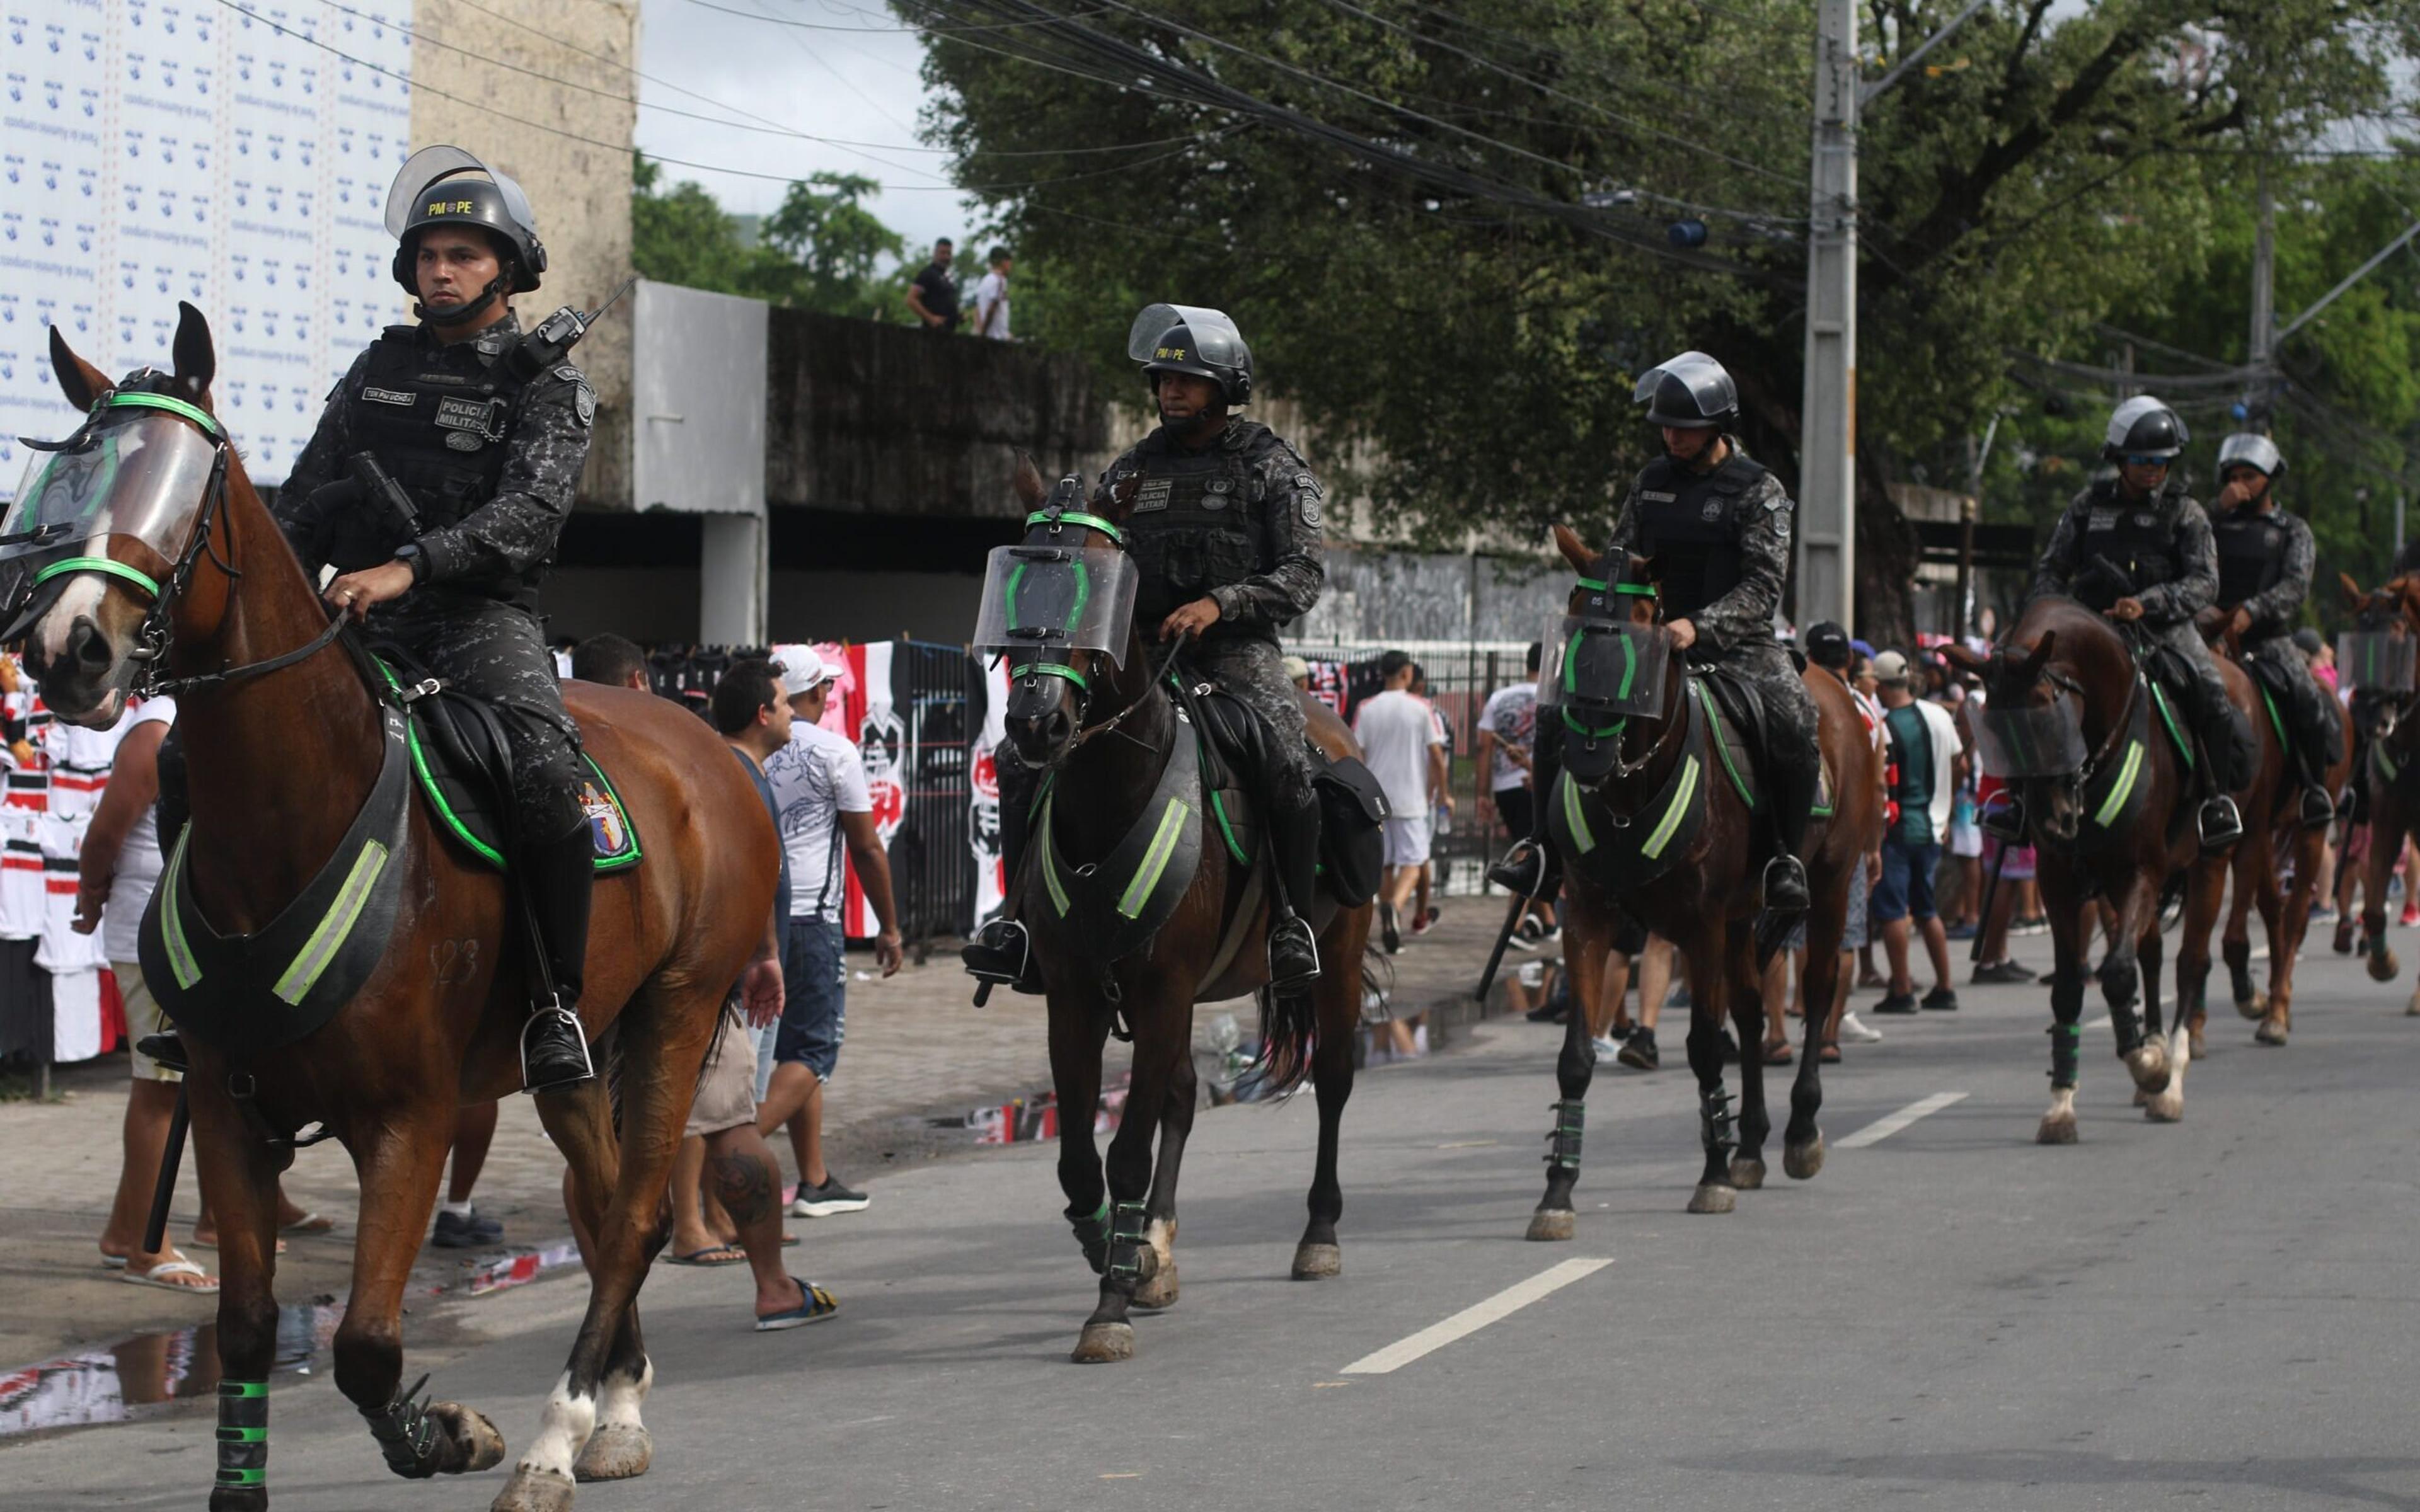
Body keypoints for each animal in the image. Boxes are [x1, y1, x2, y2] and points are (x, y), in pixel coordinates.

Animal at [14, 307, 769, 1509]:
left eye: (187, 487)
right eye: (68, 477)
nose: (66, 647)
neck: (291, 820)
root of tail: (706, 744)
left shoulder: (406, 1120)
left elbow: (368, 1344)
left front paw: (452, 1433)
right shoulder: (228, 1111)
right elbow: (244, 1328)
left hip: (677, 1012)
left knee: (635, 1216)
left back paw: (557, 1440)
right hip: (575, 1051)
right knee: (610, 1207)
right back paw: (616, 1415)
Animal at [997, 454, 1384, 1364]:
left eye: (1104, 589)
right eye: (1017, 581)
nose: (1035, 725)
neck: (1107, 801)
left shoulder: (1164, 991)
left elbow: (1127, 1153)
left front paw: (1110, 1304)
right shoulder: (1076, 997)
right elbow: (1080, 1160)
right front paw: (1120, 1253)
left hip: (1335, 956)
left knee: (1333, 1078)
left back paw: (1318, 1234)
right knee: (1179, 1095)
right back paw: (1157, 1247)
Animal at [1519, 525, 1877, 1234]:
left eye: (1645, 623)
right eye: (1572, 620)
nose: (1586, 752)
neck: (1628, 788)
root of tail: (1839, 690)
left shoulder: (1701, 924)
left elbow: (1706, 1046)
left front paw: (1711, 1176)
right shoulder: (1589, 919)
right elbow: (1576, 1057)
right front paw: (1558, 1190)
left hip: (1828, 882)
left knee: (1818, 987)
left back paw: (1799, 1131)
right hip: (1743, 915)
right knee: (1750, 1005)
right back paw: (1751, 1144)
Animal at [1945, 590, 2265, 1132]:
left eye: (2047, 711)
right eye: (1995, 730)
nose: (2054, 819)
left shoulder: (2139, 872)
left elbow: (2116, 974)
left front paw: (2152, 1069)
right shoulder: (2060, 882)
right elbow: (2071, 985)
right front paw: (2061, 1102)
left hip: (2209, 864)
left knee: (2190, 962)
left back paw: (2170, 1078)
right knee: (2153, 955)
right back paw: (2151, 1048)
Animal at [2178, 614, 2342, 1050]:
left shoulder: (2247, 834)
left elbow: (2229, 938)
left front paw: (2247, 997)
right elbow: (2197, 939)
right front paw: (2194, 1025)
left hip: (2310, 830)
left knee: (2296, 914)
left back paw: (2277, 1012)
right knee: (2274, 910)